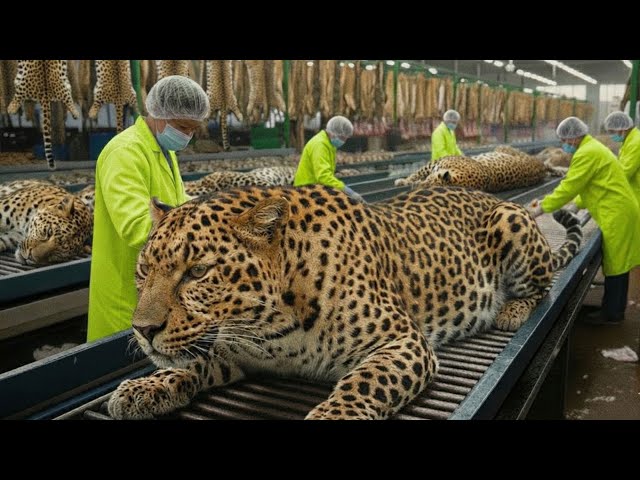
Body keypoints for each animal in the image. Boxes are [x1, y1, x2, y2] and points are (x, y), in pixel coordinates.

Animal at [107, 184, 582, 420]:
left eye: (198, 272)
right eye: (143, 271)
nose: (143, 330)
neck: (268, 327)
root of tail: (489, 196)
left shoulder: (403, 341)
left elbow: (364, 382)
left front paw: (332, 416)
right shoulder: (238, 351)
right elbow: (193, 362)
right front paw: (145, 387)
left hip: (512, 224)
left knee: (543, 285)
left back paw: (513, 309)